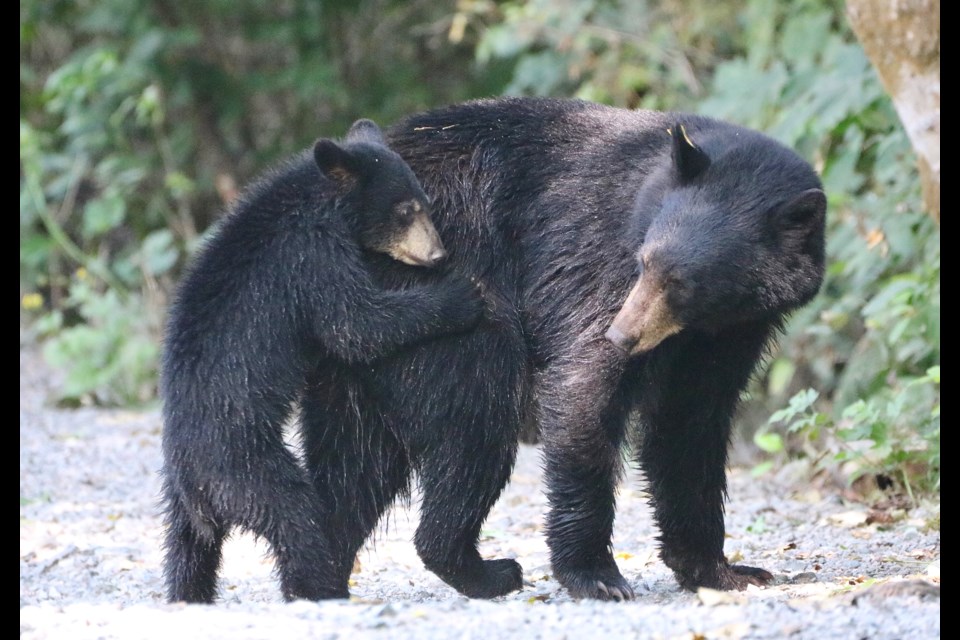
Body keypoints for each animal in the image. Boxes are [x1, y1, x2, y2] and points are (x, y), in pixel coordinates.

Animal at [162, 120, 488, 604]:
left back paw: (189, 594)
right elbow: (354, 324)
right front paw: (462, 295)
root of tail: (198, 491)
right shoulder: (311, 256)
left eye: (426, 206)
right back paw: (319, 588)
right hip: (242, 463)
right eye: (406, 210)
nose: (437, 255)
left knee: (186, 550)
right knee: (296, 516)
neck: (322, 202)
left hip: (180, 500)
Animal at [298, 96, 824, 600]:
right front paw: (596, 575)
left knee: (355, 462)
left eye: (682, 282)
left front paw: (724, 570)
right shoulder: (597, 262)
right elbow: (583, 388)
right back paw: (477, 567)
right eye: (644, 262)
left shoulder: (733, 330)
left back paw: (323, 581)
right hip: (428, 300)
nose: (623, 335)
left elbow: (689, 424)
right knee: (477, 416)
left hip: (355, 353)